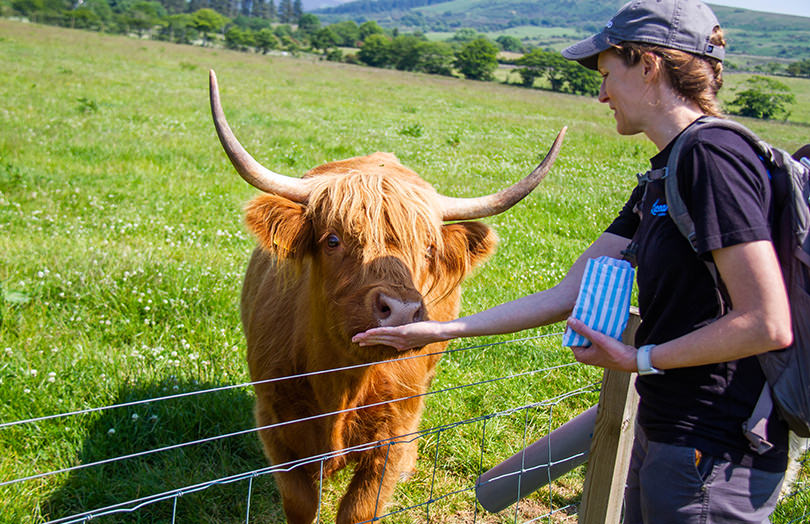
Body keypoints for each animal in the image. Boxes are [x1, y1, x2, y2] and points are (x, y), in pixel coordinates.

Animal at [209, 70, 565, 524]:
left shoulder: (391, 436)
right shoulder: (276, 427)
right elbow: (301, 504)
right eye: (333, 240)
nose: (401, 310)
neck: (340, 382)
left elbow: (360, 509)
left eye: (428, 249)